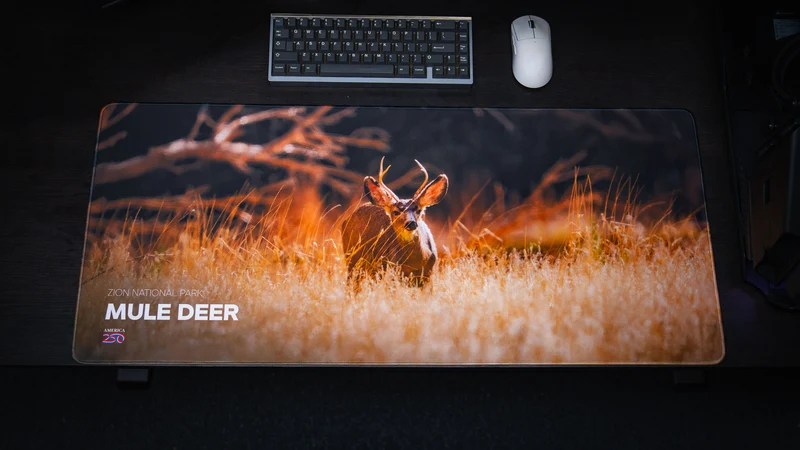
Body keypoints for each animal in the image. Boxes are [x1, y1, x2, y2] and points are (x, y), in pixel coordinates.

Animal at [341, 157, 449, 289]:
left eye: (418, 210)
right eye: (396, 212)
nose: (411, 223)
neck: (415, 261)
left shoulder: (428, 274)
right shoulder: (394, 270)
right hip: (352, 258)